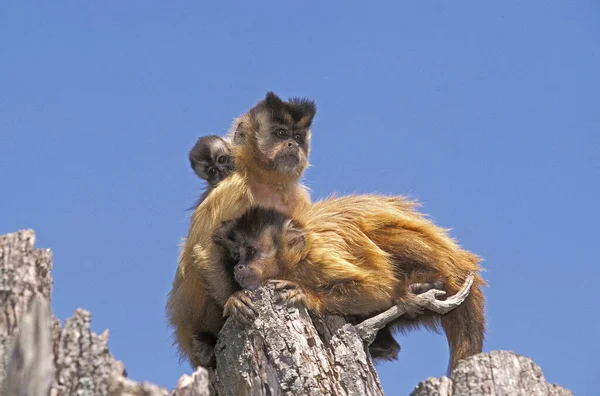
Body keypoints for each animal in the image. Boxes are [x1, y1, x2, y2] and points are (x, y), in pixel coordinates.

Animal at [213, 198, 486, 374]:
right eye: (237, 255)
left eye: (251, 251)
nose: (239, 267)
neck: (295, 263)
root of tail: (460, 264)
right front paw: (236, 300)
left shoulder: (318, 256)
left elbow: (378, 288)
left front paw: (307, 296)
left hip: (443, 263)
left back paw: (422, 284)